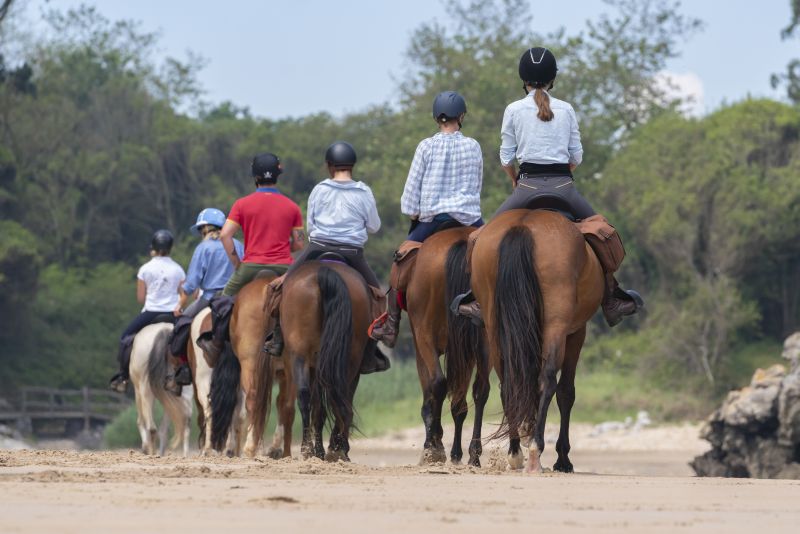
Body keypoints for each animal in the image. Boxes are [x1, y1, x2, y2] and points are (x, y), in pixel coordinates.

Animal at [131, 324, 195, 458]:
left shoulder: (138, 390)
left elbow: (141, 421)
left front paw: (146, 448)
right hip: (185, 391)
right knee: (186, 423)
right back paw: (184, 454)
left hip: (144, 389)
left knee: (151, 427)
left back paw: (152, 452)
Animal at [208, 276, 296, 460]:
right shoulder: (283, 374)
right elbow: (281, 404)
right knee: (286, 406)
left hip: (250, 366)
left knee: (253, 402)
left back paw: (250, 448)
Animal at [278, 262, 376, 462]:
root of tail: (324, 271)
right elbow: (321, 408)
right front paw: (325, 449)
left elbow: (318, 407)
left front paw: (319, 450)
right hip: (349, 358)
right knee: (339, 398)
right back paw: (334, 449)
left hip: (301, 356)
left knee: (308, 396)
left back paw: (312, 448)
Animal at [406, 228, 488, 466]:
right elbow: (459, 403)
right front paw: (456, 453)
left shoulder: (421, 348)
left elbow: (430, 396)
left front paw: (435, 444)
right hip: (484, 343)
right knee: (481, 390)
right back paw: (474, 454)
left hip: (425, 338)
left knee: (438, 383)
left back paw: (433, 446)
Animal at [468, 209, 600, 474]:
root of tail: (523, 224)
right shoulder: (576, 333)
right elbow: (566, 392)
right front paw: (562, 458)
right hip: (556, 325)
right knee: (547, 381)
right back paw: (534, 451)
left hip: (495, 326)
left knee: (509, 384)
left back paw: (515, 452)